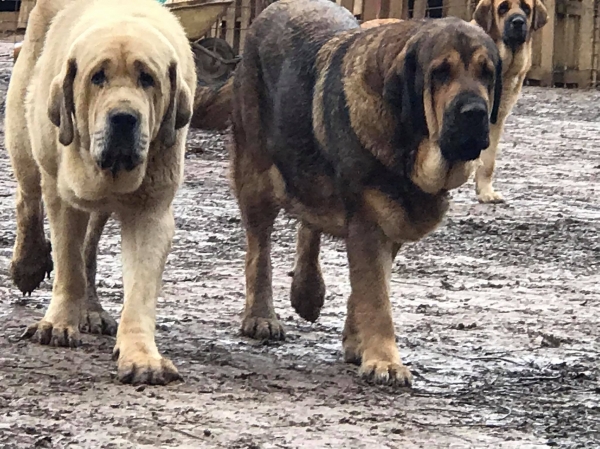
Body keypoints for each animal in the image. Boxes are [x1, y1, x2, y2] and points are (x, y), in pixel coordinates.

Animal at [230, 0, 502, 384]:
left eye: (487, 73)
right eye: (439, 73)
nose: (474, 112)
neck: (409, 144)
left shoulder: (392, 220)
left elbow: (368, 288)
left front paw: (359, 344)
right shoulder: (369, 219)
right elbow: (375, 297)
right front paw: (385, 362)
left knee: (309, 223)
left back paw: (307, 292)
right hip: (255, 175)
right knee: (259, 250)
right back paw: (260, 316)